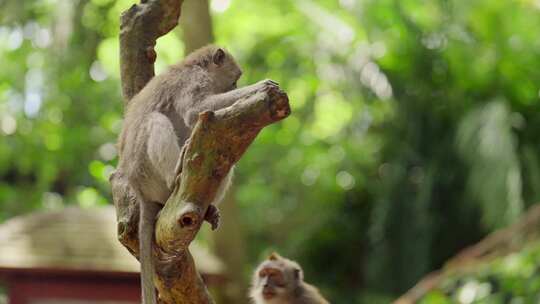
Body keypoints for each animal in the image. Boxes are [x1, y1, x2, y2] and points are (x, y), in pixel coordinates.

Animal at [114, 45, 280, 304]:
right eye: (234, 79)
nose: (235, 87)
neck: (193, 65)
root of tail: (140, 193)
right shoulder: (193, 81)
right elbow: (195, 109)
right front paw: (260, 87)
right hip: (147, 174)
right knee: (154, 120)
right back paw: (175, 176)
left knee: (221, 157)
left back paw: (208, 207)